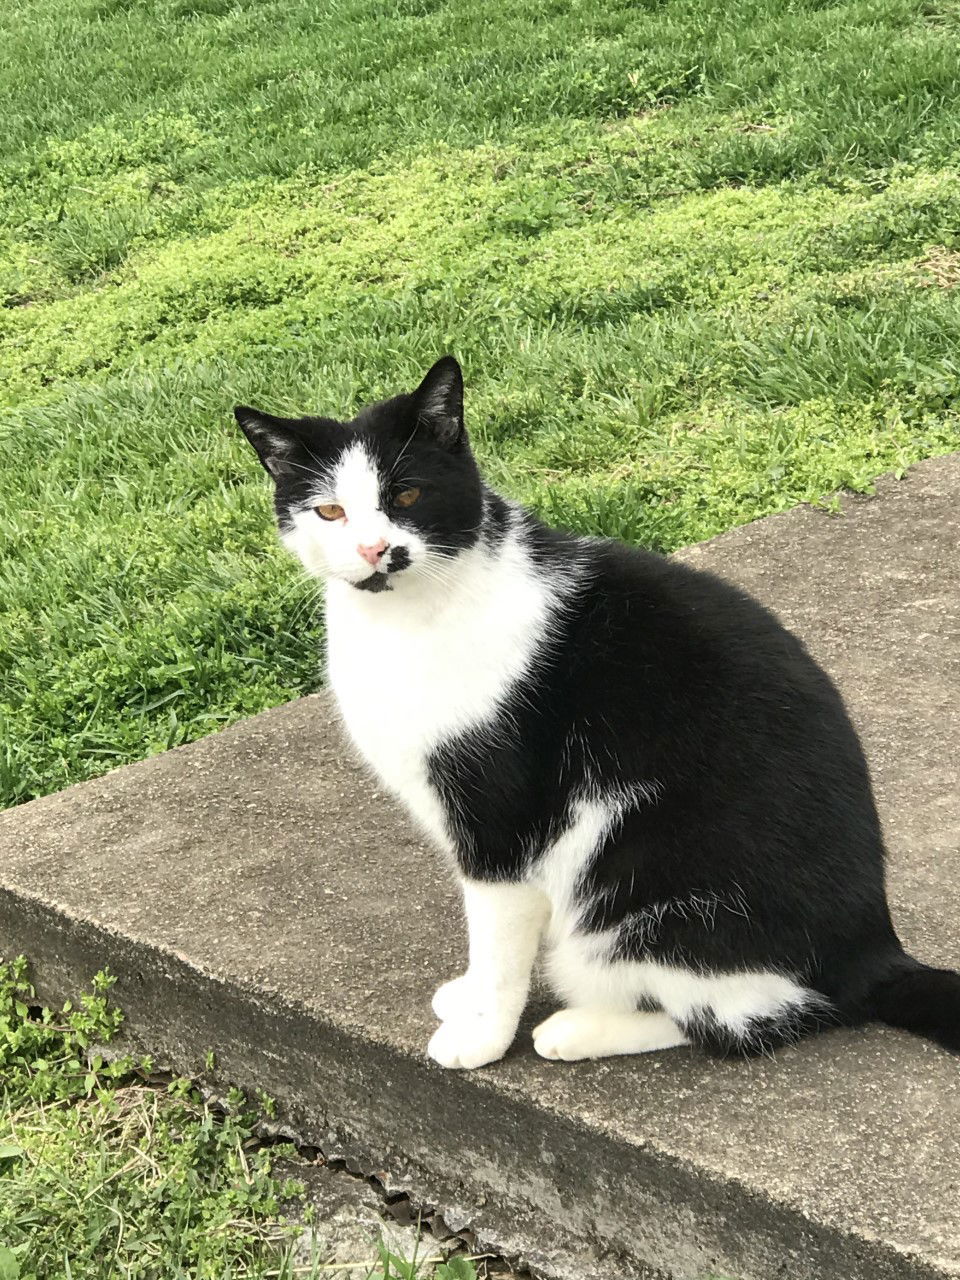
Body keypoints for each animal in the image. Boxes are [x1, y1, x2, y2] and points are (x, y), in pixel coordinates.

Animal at [235, 355, 960, 1064]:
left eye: (407, 495)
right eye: (330, 511)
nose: (373, 551)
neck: (406, 620)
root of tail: (874, 950)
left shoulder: (501, 821)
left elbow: (496, 940)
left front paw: (482, 1034)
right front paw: (467, 996)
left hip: (641, 898)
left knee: (748, 1020)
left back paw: (576, 1030)